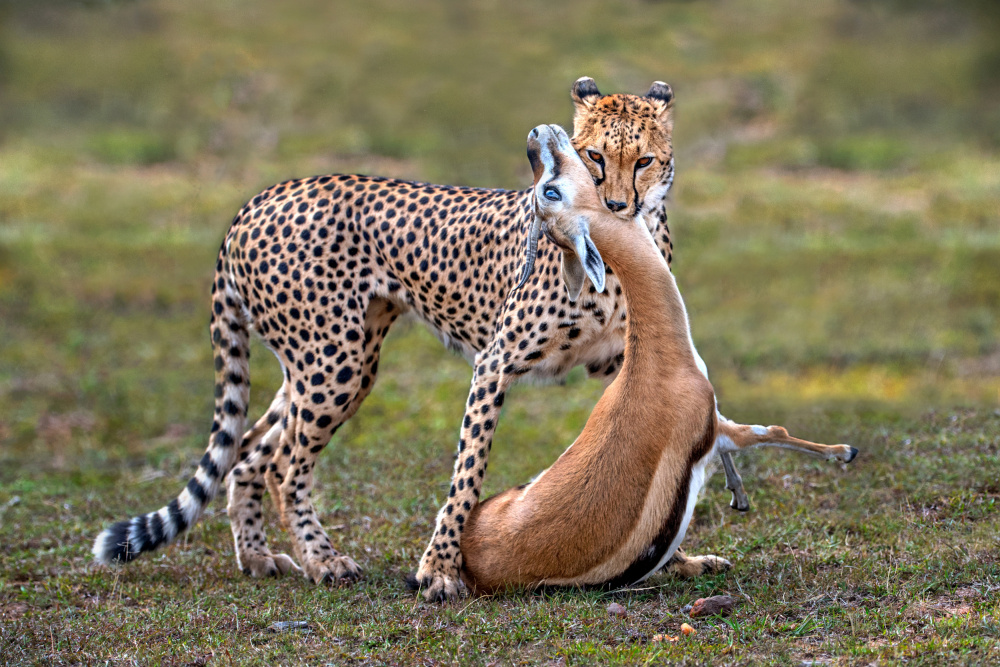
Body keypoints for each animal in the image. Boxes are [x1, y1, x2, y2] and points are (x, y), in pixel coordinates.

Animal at [92, 77, 731, 601]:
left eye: (644, 160)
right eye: (595, 155)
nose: (618, 205)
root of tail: (262, 197)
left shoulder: (622, 362)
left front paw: (673, 559)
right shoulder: (494, 363)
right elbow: (467, 473)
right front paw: (439, 571)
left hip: (322, 363)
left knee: (250, 451)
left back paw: (256, 557)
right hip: (336, 363)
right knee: (283, 466)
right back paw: (322, 562)